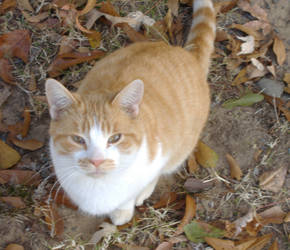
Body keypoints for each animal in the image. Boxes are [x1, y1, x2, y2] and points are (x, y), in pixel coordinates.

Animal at [45, 0, 215, 226]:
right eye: (78, 139)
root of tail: (186, 54)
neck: (99, 188)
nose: (97, 161)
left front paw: (124, 209)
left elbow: (135, 189)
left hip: (182, 147)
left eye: (115, 138)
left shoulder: (158, 156)